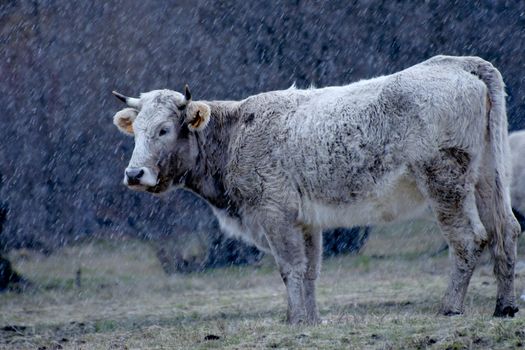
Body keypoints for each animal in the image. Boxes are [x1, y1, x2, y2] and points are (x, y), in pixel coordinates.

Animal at [111, 55, 520, 326]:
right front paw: (309, 318)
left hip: (445, 183)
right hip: (489, 177)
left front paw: (295, 320)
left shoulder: (275, 213)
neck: (235, 134)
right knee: (505, 232)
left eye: (164, 129)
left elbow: (290, 267)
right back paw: (505, 306)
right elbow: (309, 270)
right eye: (136, 131)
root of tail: (456, 63)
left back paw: (450, 306)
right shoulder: (306, 222)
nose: (134, 173)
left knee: (469, 240)